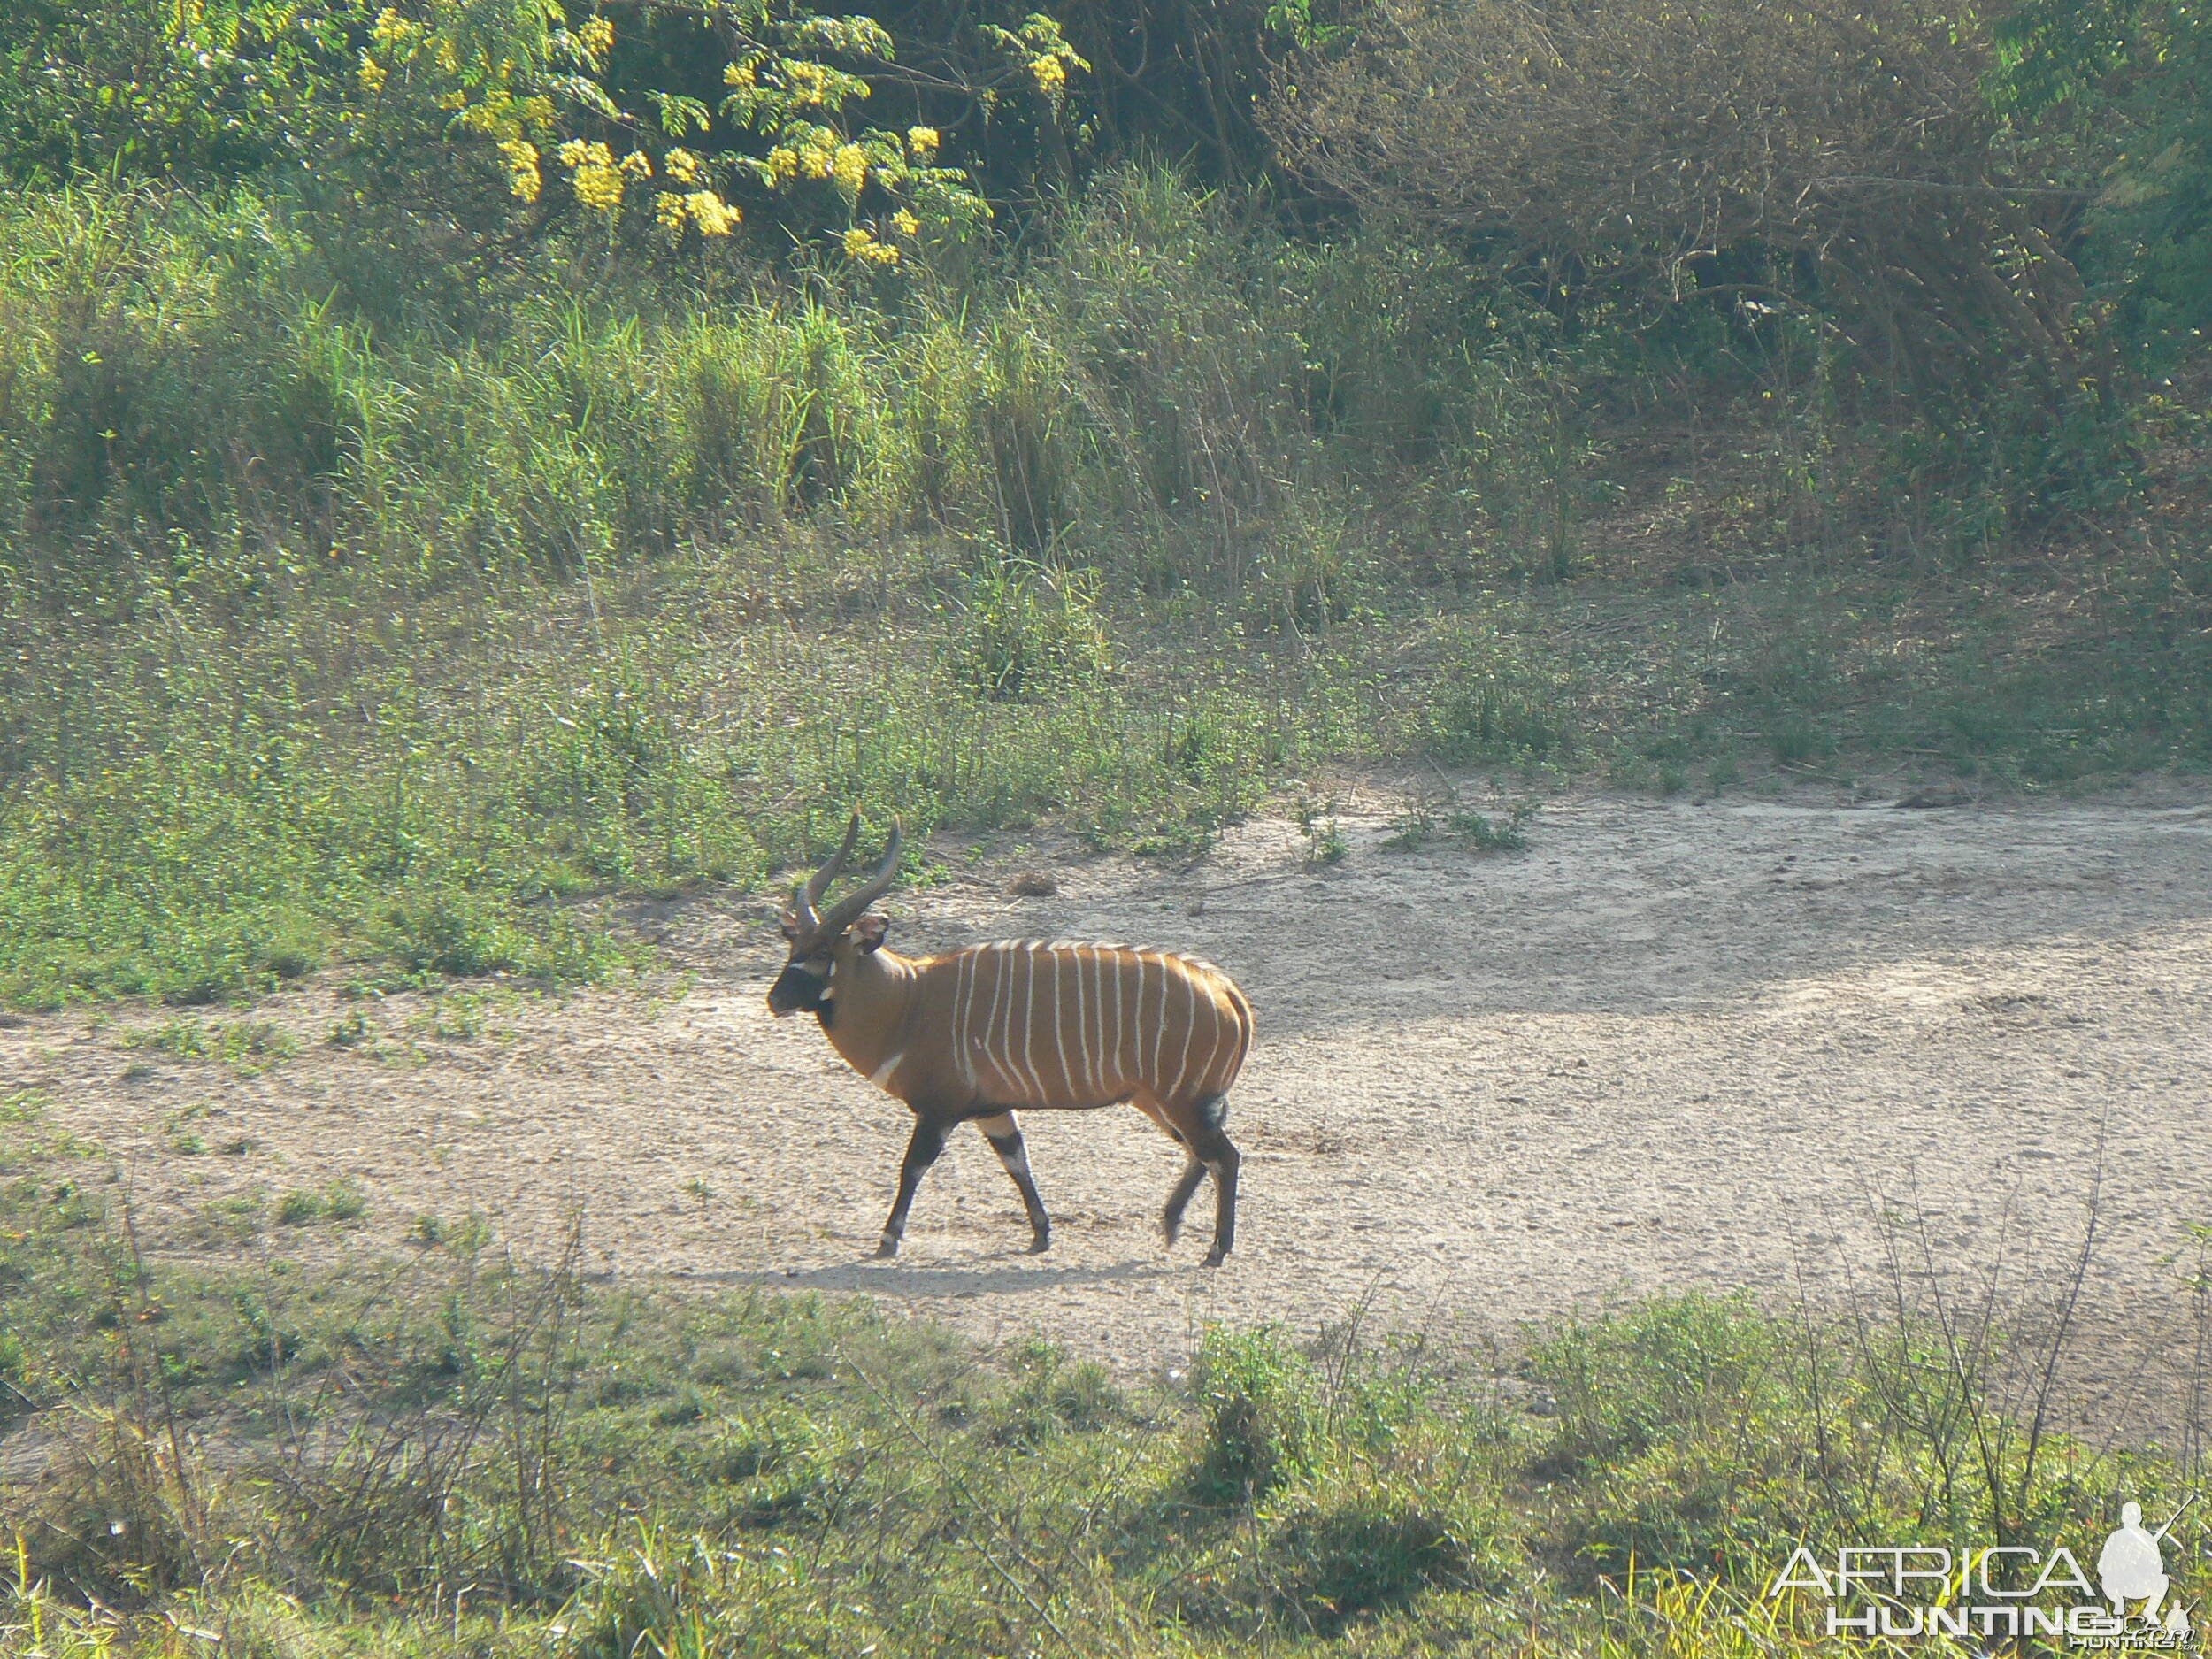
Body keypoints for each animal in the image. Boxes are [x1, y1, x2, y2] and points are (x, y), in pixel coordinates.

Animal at [774, 827, 1265, 1265]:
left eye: (823, 953)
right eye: (793, 946)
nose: (774, 1000)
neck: (908, 999)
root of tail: (1226, 991)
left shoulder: (939, 1110)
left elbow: (913, 1167)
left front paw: (888, 1240)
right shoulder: (991, 1110)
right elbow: (1017, 1162)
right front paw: (1041, 1234)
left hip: (1181, 1100)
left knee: (1224, 1156)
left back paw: (1216, 1250)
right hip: (1159, 1100)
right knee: (1202, 1153)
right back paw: (1170, 1224)